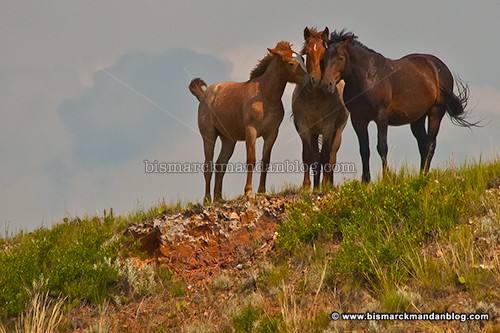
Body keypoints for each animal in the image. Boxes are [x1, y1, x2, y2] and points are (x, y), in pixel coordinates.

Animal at [189, 41, 308, 202]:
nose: (311, 79)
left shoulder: (271, 134)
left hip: (228, 140)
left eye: (303, 59)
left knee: (220, 165)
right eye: (291, 63)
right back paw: (207, 199)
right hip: (209, 136)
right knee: (208, 165)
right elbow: (251, 160)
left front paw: (262, 190)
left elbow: (265, 161)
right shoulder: (251, 132)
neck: (264, 97)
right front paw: (248, 191)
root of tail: (204, 96)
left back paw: (218, 199)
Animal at [292, 27, 350, 189]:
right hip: (314, 133)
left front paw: (325, 185)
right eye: (307, 53)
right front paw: (307, 187)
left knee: (332, 157)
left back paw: (328, 184)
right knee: (316, 159)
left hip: (337, 132)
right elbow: (308, 157)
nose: (315, 80)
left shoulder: (327, 128)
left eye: (324, 53)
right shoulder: (305, 128)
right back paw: (316, 185)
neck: (315, 98)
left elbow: (325, 156)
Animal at [320, 29, 476, 183]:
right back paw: (421, 175)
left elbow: (382, 147)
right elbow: (364, 149)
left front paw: (386, 178)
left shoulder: (381, 117)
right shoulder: (358, 119)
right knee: (423, 145)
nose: (326, 84)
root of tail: (440, 67)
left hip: (436, 112)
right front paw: (365, 181)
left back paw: (425, 176)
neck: (368, 78)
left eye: (340, 57)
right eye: (323, 59)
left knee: (430, 145)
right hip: (418, 119)